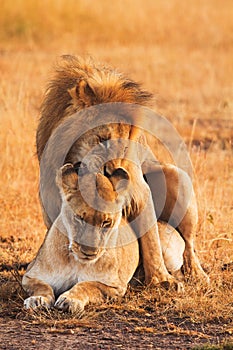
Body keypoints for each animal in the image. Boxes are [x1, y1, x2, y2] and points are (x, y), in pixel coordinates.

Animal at [22, 164, 185, 314]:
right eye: (80, 217)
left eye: (106, 222)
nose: (89, 252)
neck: (76, 262)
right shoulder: (30, 275)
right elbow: (42, 286)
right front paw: (37, 300)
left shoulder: (115, 286)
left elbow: (88, 286)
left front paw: (70, 300)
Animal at [35, 56, 208, 288]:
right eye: (102, 139)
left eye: (125, 146)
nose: (115, 171)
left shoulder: (140, 192)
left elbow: (151, 241)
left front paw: (162, 280)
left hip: (177, 176)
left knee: (189, 244)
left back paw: (197, 275)